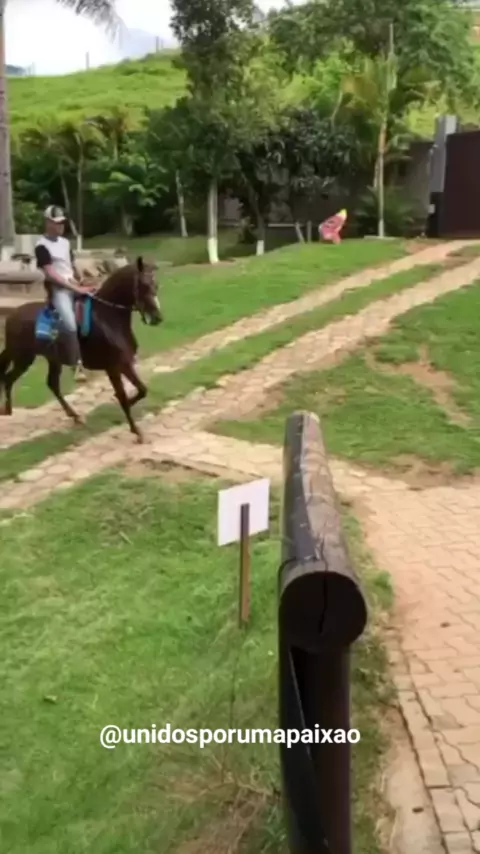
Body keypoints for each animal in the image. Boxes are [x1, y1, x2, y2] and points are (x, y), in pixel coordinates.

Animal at [0, 256, 162, 442]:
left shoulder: (124, 363)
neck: (107, 319)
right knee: (8, 378)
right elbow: (122, 396)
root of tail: (12, 315)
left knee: (51, 384)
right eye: (143, 285)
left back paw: (75, 416)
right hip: (23, 358)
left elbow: (142, 389)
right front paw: (136, 431)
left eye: (156, 284)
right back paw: (7, 409)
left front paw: (130, 406)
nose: (157, 317)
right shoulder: (113, 367)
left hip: (51, 359)